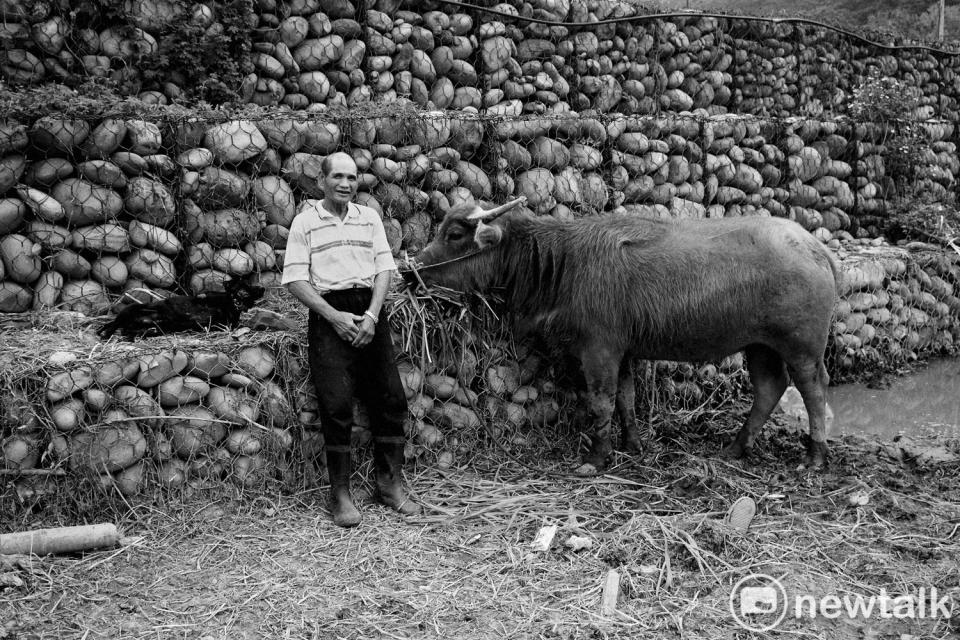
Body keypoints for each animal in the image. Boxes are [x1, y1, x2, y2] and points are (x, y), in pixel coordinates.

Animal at [408, 196, 836, 476]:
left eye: (455, 233)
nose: (412, 270)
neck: (564, 260)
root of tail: (815, 247)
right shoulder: (625, 350)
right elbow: (626, 400)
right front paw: (632, 445)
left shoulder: (599, 349)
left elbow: (601, 402)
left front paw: (596, 458)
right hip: (760, 345)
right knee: (769, 388)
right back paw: (734, 448)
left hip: (801, 346)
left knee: (813, 391)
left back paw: (815, 456)